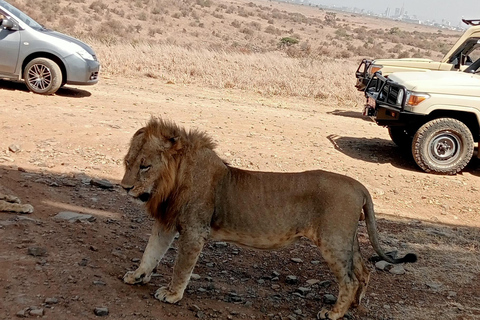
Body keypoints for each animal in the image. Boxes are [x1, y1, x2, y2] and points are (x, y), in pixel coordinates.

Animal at [121, 118, 416, 320]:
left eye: (145, 166)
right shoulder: (166, 221)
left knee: (350, 278)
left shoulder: (195, 230)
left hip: (333, 240)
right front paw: (137, 276)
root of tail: (359, 186)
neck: (169, 184)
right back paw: (354, 304)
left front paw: (172, 294)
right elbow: (151, 252)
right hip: (347, 238)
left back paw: (333, 313)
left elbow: (181, 267)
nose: (124, 187)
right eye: (127, 163)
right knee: (363, 270)